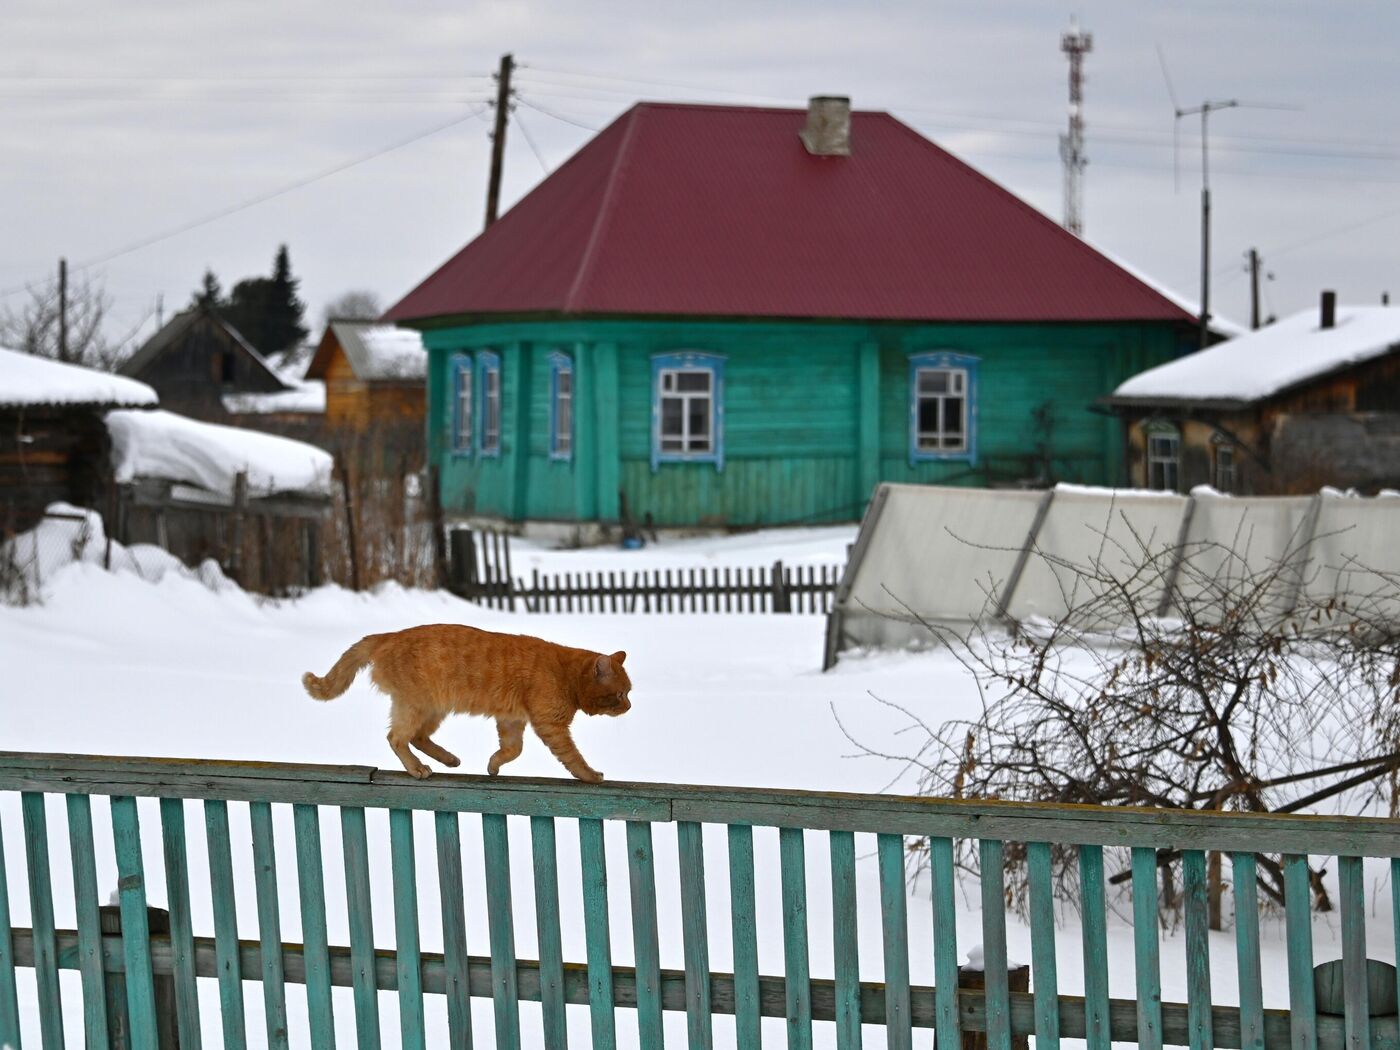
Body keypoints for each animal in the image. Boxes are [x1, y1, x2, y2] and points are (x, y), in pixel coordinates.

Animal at [309, 624, 638, 784]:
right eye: (621, 694)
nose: (630, 707)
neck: (564, 672)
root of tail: (385, 635)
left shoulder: (512, 721)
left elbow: (512, 749)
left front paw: (493, 765)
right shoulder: (551, 725)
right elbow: (573, 758)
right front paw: (591, 776)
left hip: (432, 709)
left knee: (417, 737)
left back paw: (449, 760)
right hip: (415, 705)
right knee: (397, 738)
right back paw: (418, 769)